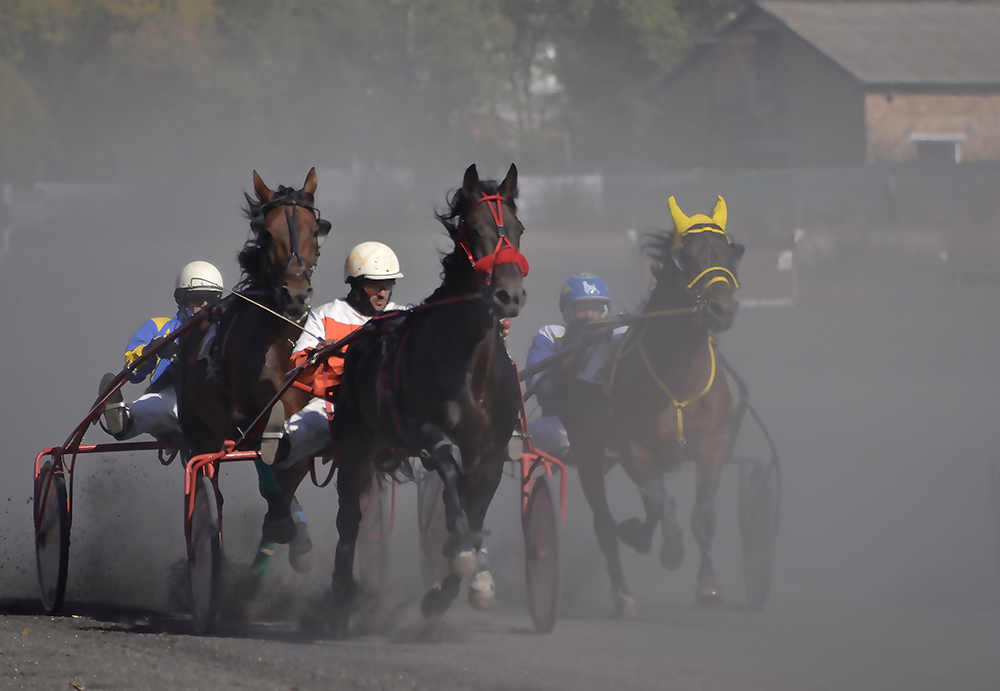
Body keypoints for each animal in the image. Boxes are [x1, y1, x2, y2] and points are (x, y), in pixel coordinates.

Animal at [172, 169, 328, 536]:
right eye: (268, 233)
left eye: (315, 231)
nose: (295, 293)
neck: (276, 343)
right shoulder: (243, 423)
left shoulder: (299, 428)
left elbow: (286, 483)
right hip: (200, 431)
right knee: (209, 481)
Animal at [324, 164, 532, 636]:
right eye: (473, 229)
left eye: (517, 229)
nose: (508, 296)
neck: (470, 363)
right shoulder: (426, 430)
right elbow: (449, 473)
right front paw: (462, 552)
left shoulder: (491, 451)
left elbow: (476, 510)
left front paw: (450, 590)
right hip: (355, 442)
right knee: (349, 517)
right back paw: (342, 596)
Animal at [556, 195, 744, 616]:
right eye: (685, 256)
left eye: (731, 252)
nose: (722, 309)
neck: (678, 377)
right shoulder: (633, 447)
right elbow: (657, 502)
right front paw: (662, 546)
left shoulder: (713, 442)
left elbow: (702, 514)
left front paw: (709, 584)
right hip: (588, 450)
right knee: (604, 523)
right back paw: (621, 590)